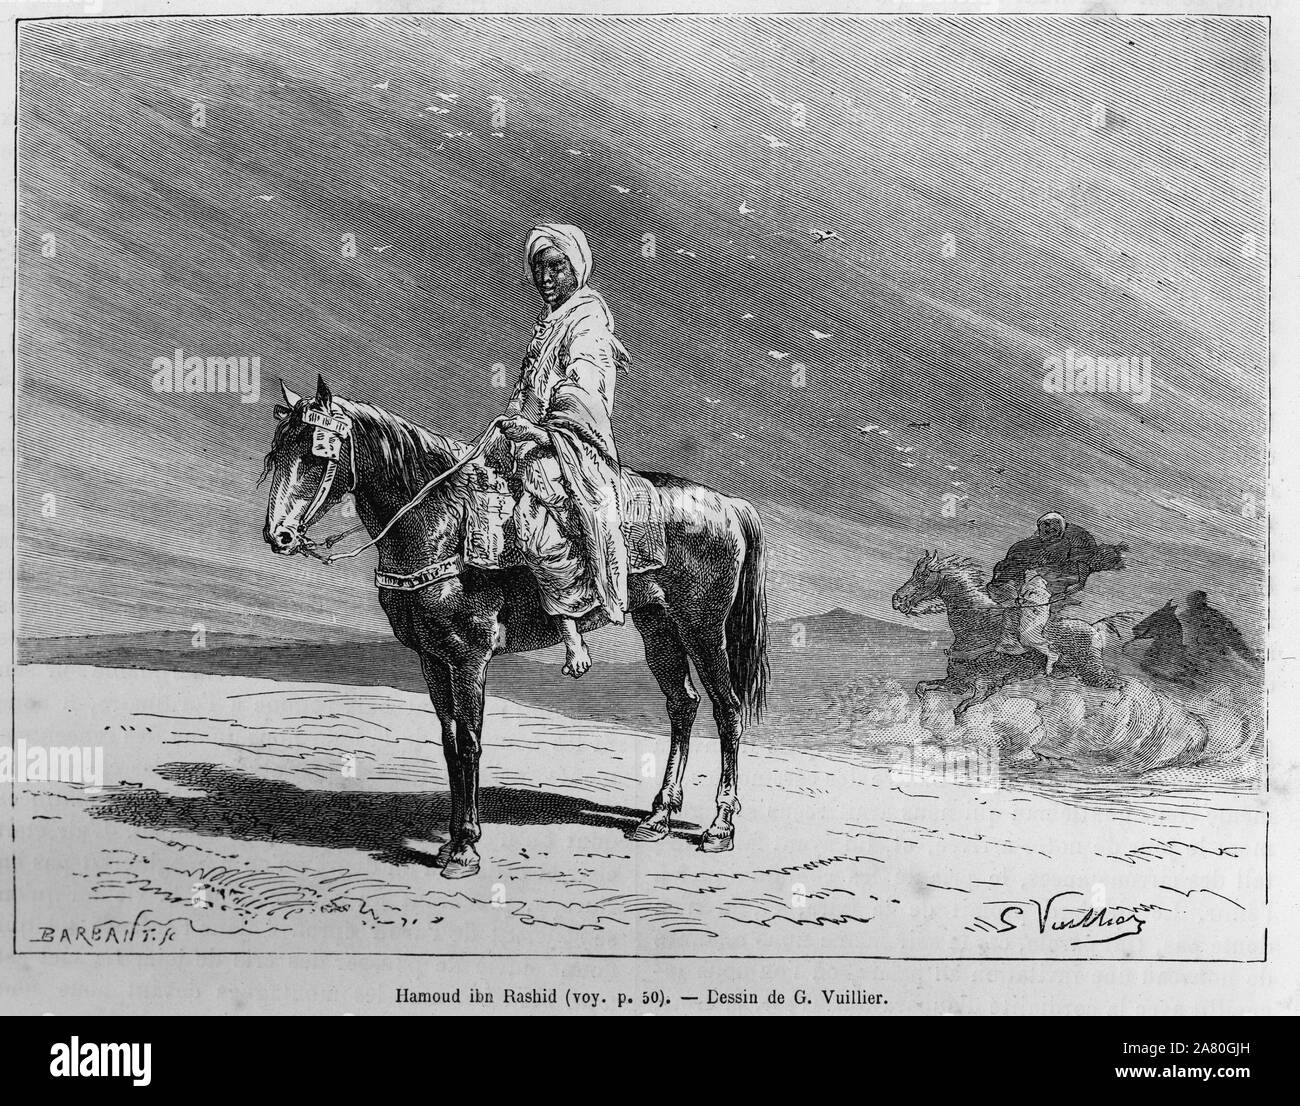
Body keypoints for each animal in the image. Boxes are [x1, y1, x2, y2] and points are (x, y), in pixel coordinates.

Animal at [266, 379, 769, 883]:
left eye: (317, 454)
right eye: (277, 452)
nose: (279, 536)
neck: (443, 524)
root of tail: (731, 505)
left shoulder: (468, 659)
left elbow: (470, 743)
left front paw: (466, 848)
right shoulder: (432, 659)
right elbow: (449, 744)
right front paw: (450, 844)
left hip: (702, 628)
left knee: (727, 711)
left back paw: (720, 827)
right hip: (659, 627)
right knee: (682, 705)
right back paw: (658, 817)